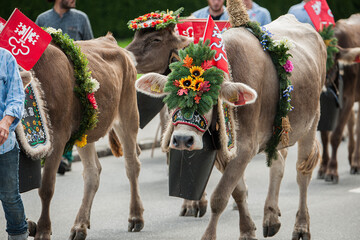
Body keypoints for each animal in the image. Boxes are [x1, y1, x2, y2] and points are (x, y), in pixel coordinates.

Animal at [25, 32, 143, 239]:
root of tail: (109, 39)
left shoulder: (58, 136)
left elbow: (46, 187)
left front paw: (43, 230)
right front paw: (29, 225)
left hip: (128, 114)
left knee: (132, 165)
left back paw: (135, 217)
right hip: (85, 131)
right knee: (92, 172)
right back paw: (79, 226)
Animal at [125, 0, 328, 240]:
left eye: (155, 39)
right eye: (171, 98)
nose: (182, 140)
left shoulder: (245, 147)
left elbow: (220, 196)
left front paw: (210, 235)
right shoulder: (224, 150)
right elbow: (237, 192)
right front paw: (248, 230)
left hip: (311, 122)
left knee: (302, 173)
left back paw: (301, 227)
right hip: (275, 133)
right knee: (278, 162)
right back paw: (271, 217)